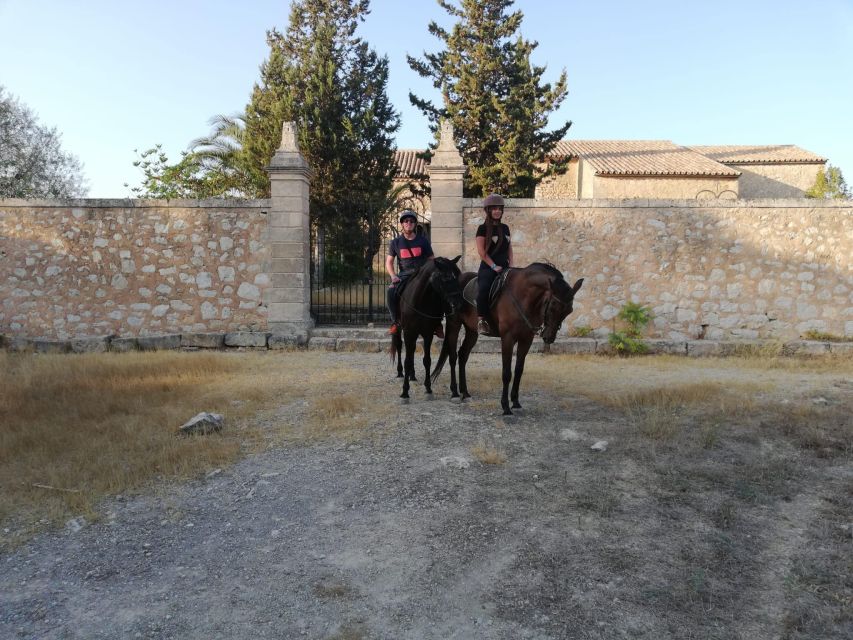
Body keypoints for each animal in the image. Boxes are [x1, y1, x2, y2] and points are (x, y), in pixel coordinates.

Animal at [390, 256, 462, 400]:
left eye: (457, 276)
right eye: (446, 277)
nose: (458, 303)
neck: (420, 300)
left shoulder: (427, 334)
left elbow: (427, 360)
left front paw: (428, 388)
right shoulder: (408, 332)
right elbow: (407, 360)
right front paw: (405, 391)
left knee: (411, 351)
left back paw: (412, 375)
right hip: (401, 329)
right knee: (400, 346)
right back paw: (401, 373)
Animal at [430, 264, 584, 416]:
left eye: (569, 311)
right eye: (552, 307)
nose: (548, 337)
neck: (523, 296)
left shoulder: (526, 340)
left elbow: (519, 370)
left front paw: (515, 402)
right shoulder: (507, 338)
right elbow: (506, 373)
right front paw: (505, 407)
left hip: (472, 330)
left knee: (463, 355)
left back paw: (465, 393)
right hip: (454, 324)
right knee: (453, 357)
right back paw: (455, 393)